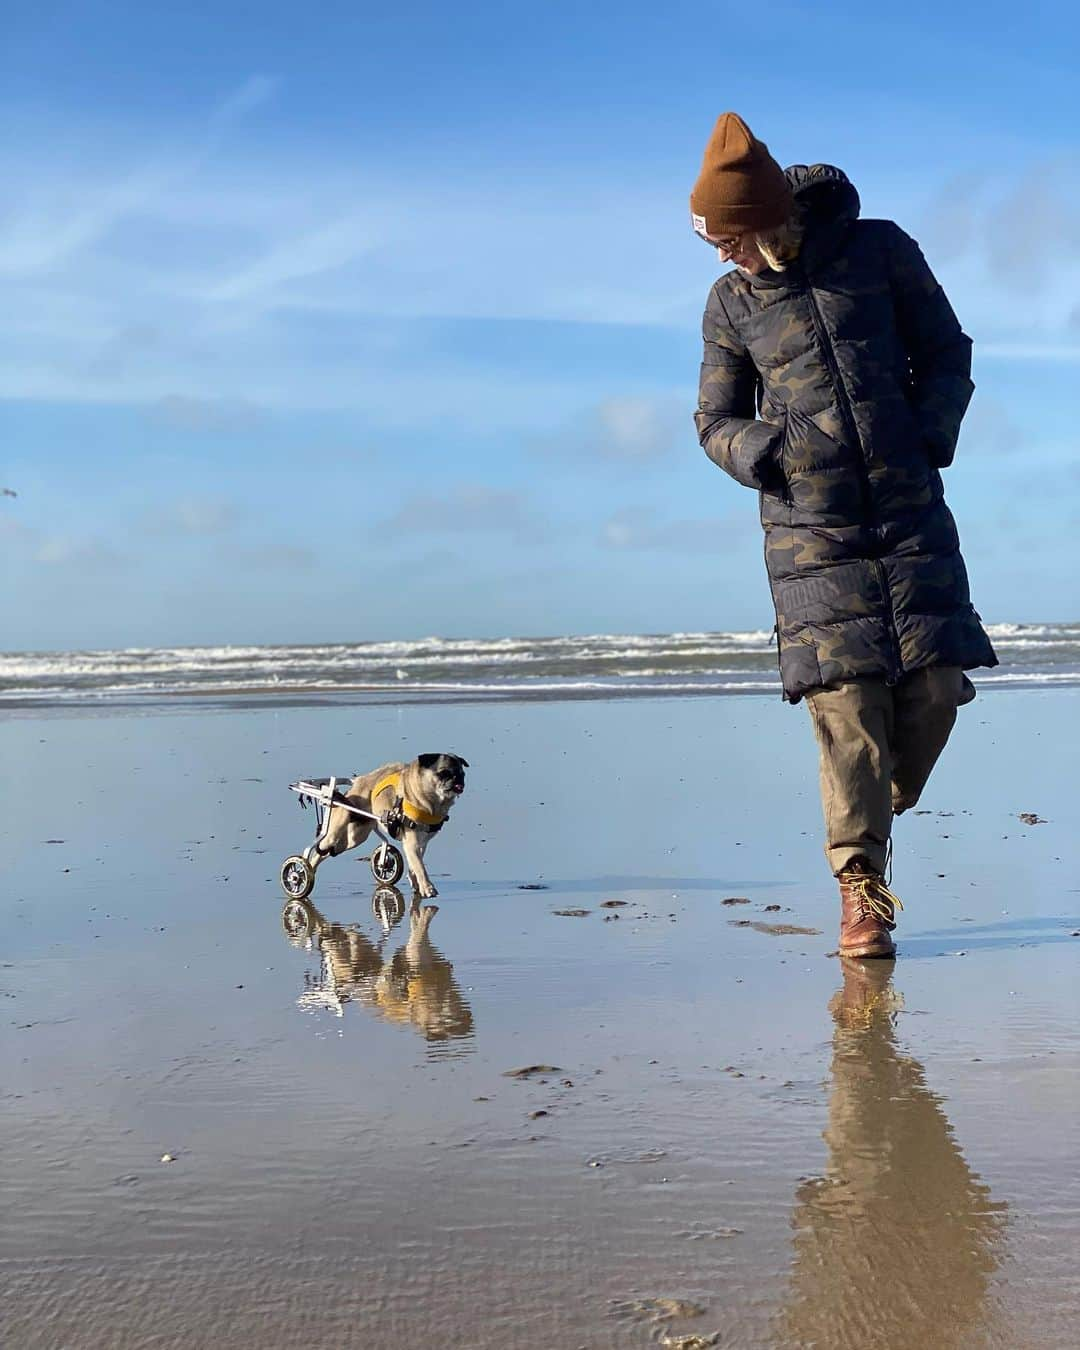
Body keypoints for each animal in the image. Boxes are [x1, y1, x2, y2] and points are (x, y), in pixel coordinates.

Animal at [310, 756, 467, 901]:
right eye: (443, 773)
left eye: (463, 774)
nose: (458, 779)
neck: (432, 804)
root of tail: (357, 782)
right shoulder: (412, 844)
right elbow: (420, 867)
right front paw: (427, 888)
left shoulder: (421, 844)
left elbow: (415, 865)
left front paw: (416, 883)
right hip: (336, 834)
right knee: (317, 850)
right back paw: (306, 870)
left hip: (354, 837)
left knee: (328, 851)